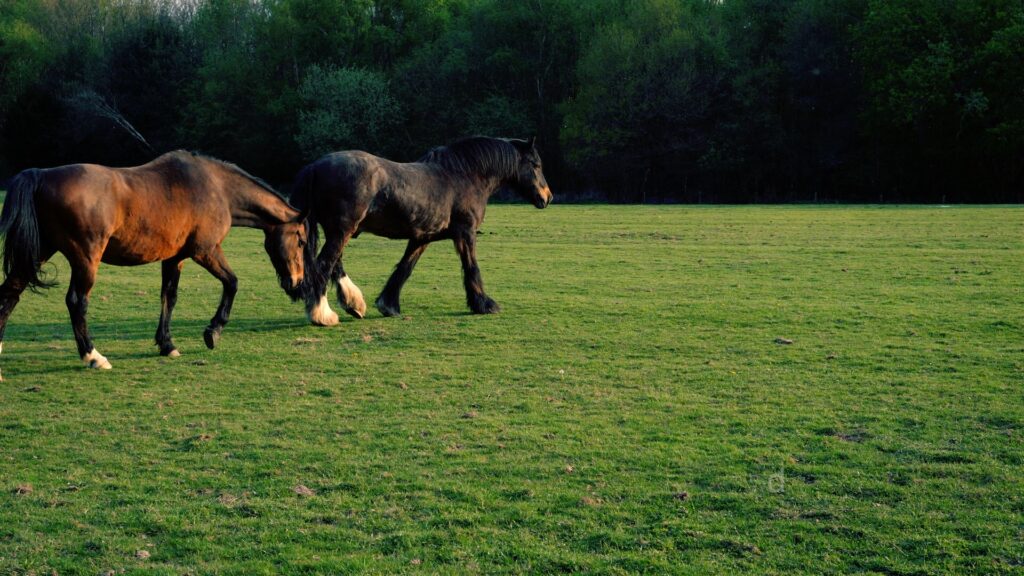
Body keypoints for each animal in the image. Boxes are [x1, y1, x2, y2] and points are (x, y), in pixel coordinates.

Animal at [0, 148, 305, 377]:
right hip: (85, 260)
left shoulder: (175, 258)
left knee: (10, 293)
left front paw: (167, 344)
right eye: (301, 241)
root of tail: (41, 175)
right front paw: (213, 331)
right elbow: (232, 283)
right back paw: (93, 356)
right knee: (76, 302)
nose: (297, 283)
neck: (216, 187)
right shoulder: (206, 251)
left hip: (39, 253)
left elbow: (169, 297)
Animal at [288, 134, 552, 323]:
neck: (463, 176)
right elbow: (471, 267)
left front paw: (389, 305)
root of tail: (315, 166)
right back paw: (322, 314)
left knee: (335, 265)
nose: (547, 197)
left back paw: (354, 304)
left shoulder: (422, 238)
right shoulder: (465, 233)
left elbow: (405, 268)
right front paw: (484, 304)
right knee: (324, 265)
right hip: (341, 231)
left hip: (340, 231)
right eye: (536, 165)